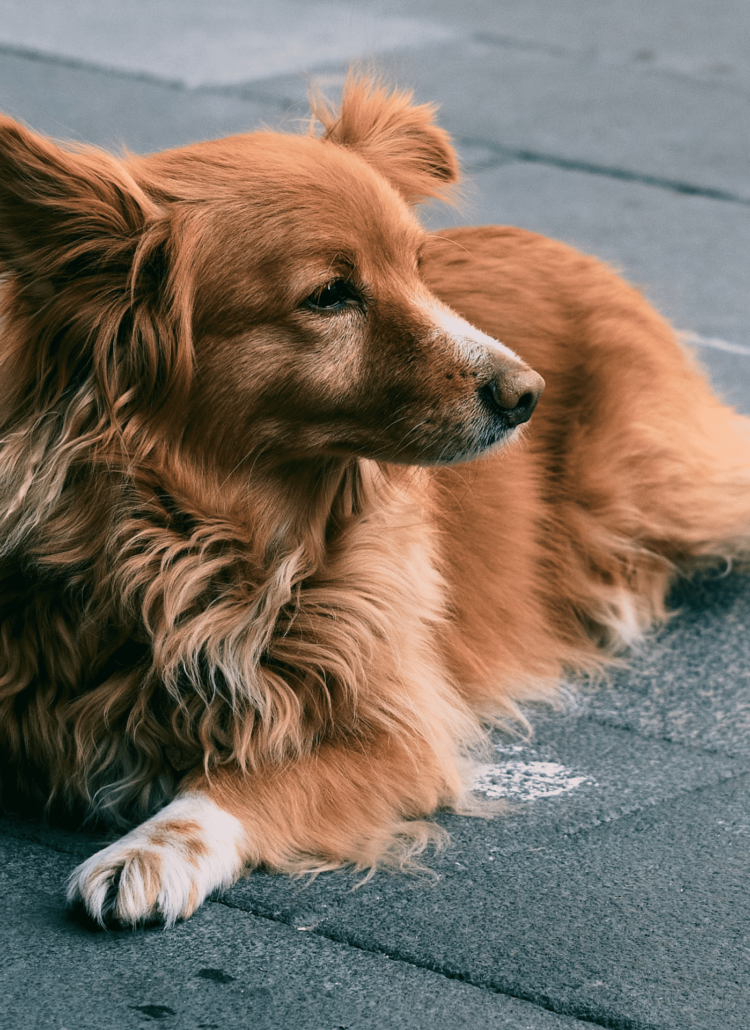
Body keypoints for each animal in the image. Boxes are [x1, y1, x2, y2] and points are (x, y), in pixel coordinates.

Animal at [1, 74, 750, 927]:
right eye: (330, 295)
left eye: (421, 271)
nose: (528, 394)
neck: (203, 539)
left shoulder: (392, 730)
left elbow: (236, 787)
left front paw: (150, 851)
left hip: (670, 487)